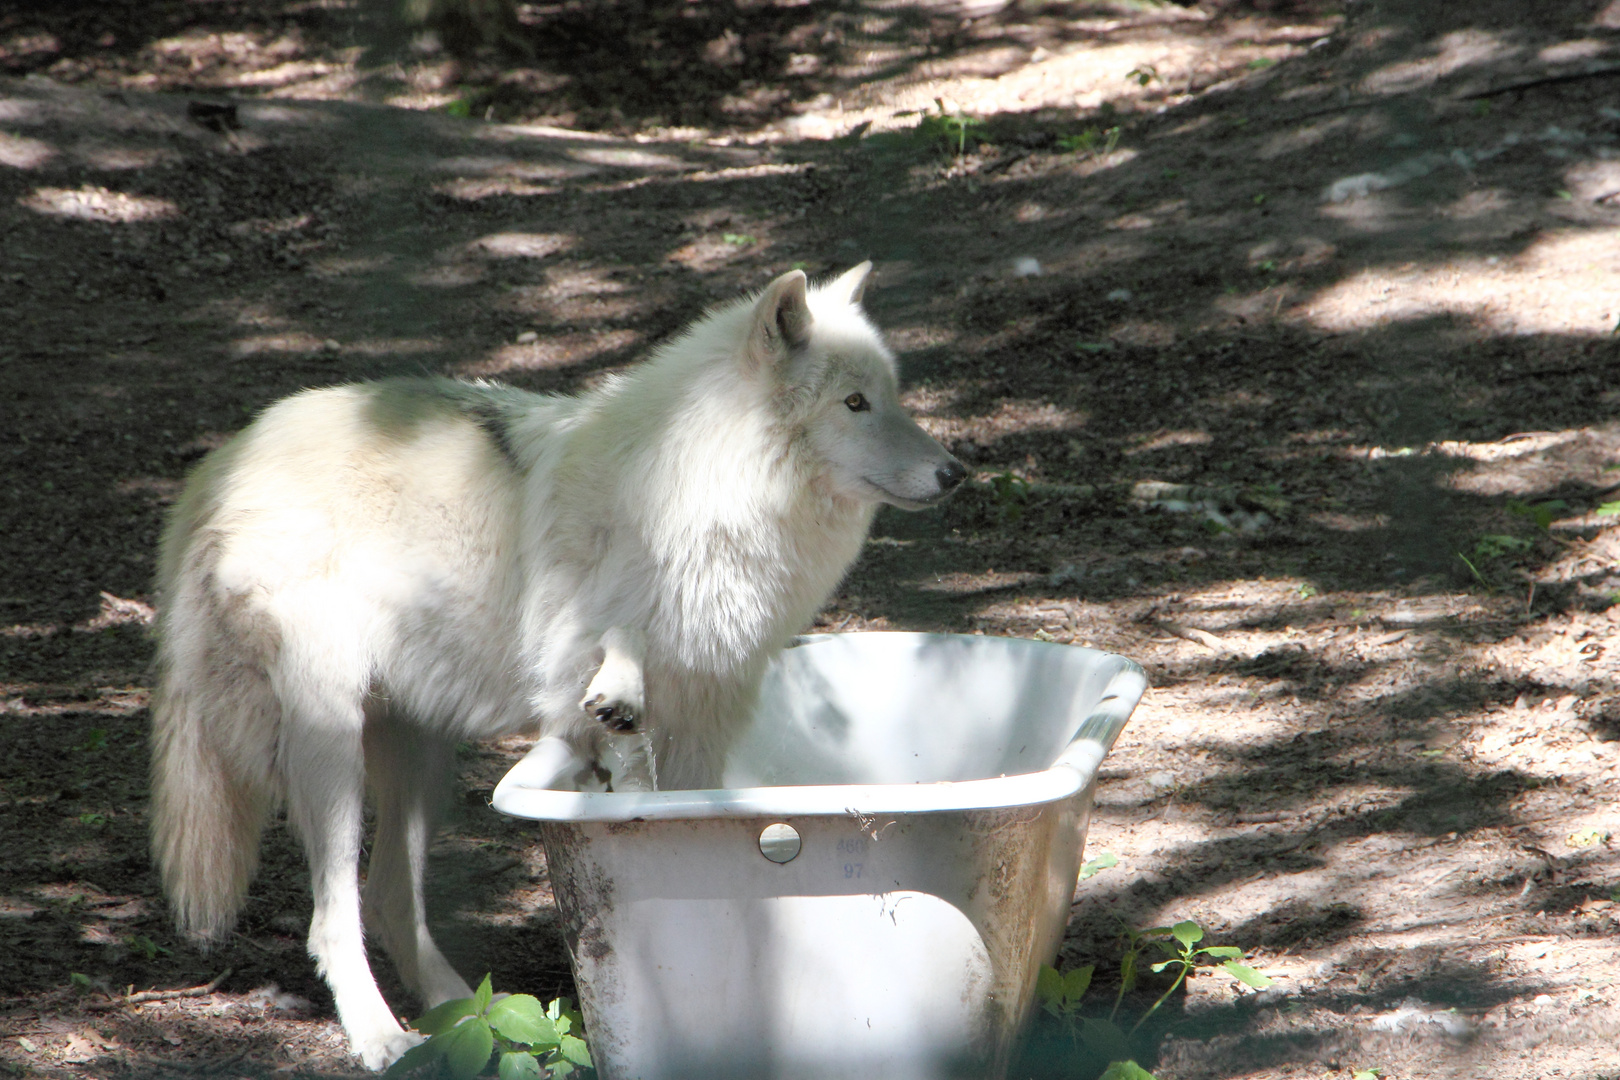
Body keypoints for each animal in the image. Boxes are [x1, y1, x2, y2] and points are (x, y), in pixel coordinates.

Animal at [149, 263, 959, 1075]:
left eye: (890, 396)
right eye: (853, 403)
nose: (955, 472)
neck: (703, 496)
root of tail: (224, 460)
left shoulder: (703, 724)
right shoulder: (591, 672)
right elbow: (617, 667)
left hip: (422, 756)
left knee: (388, 900)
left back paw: (465, 1014)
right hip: (332, 745)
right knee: (334, 916)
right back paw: (383, 1036)